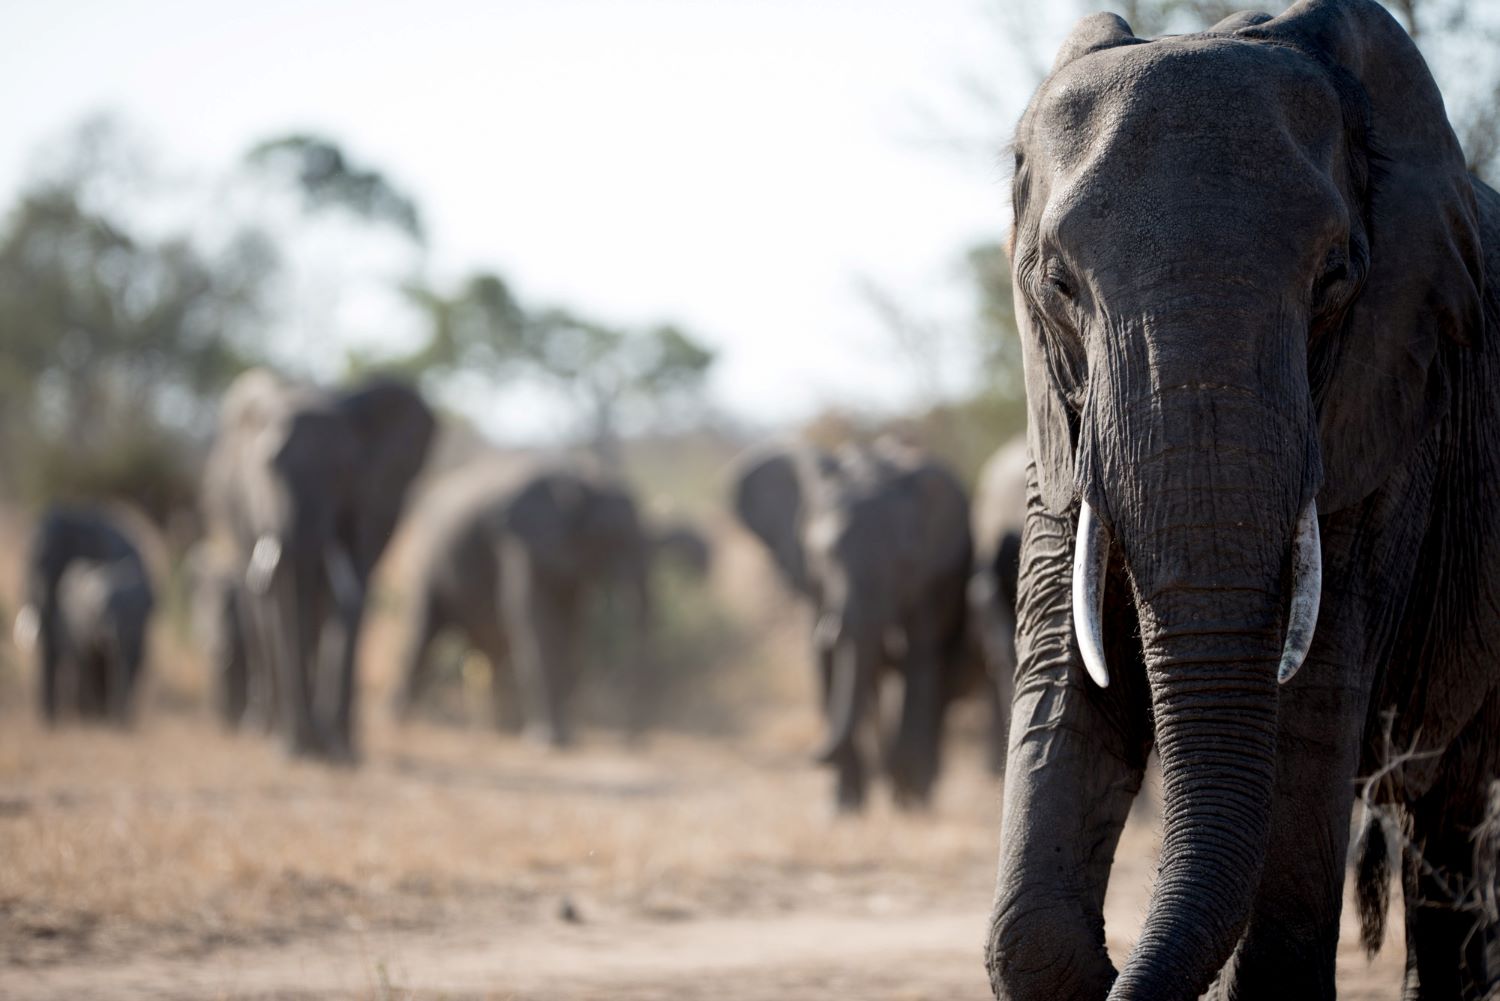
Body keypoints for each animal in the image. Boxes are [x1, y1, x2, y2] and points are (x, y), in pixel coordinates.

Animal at [201, 368, 435, 760]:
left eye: (344, 471)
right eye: (268, 467)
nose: (302, 746)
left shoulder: (374, 500)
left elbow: (351, 590)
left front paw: (342, 753)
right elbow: (280, 606)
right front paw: (292, 747)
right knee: (260, 607)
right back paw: (261, 729)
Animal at [392, 462, 653, 746]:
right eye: (610, 536)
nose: (631, 738)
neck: (580, 483)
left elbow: (572, 627)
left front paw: (566, 736)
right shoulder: (519, 543)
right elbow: (537, 624)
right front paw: (549, 741)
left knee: (487, 650)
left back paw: (495, 728)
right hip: (424, 562)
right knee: (421, 631)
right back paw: (404, 721)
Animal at [984, 3, 1500, 999]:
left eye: (1336, 278)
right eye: (1058, 285)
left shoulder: (1384, 417)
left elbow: (1307, 704)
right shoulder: (1057, 446)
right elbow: (1068, 686)